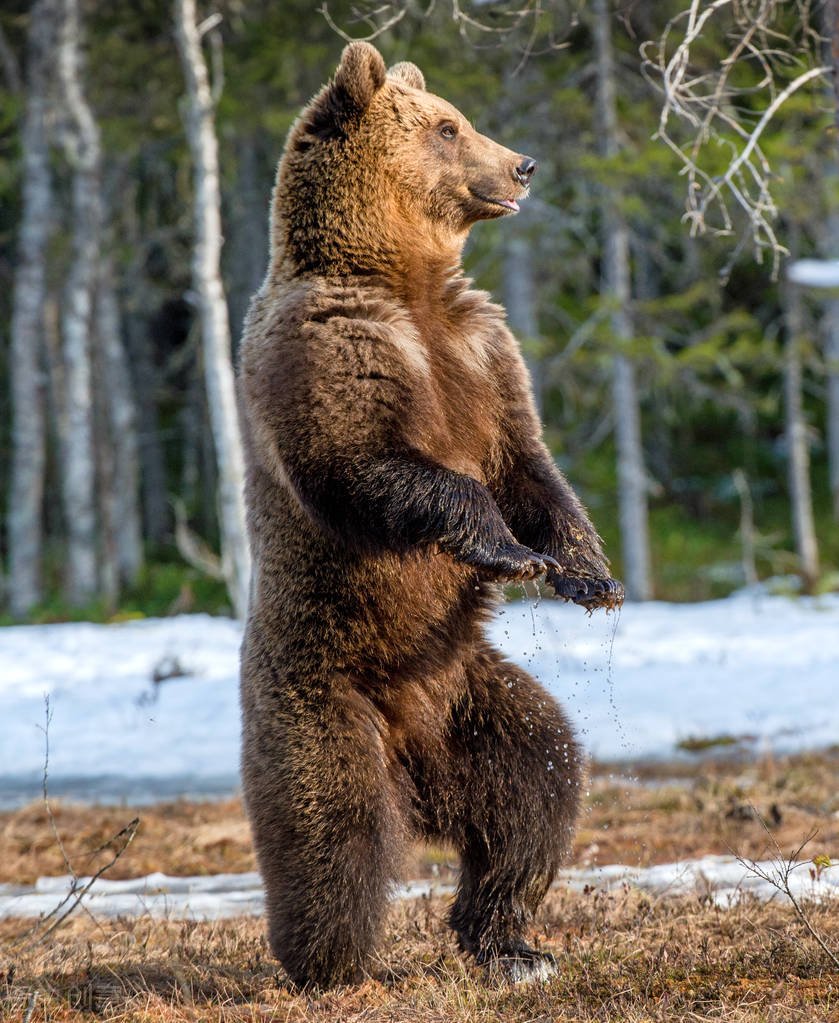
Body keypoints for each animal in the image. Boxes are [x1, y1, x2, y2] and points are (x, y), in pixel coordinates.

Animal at [237, 41, 623, 989]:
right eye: (448, 126)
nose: (521, 163)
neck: (401, 278)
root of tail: (414, 771)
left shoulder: (482, 351)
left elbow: (530, 465)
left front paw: (586, 574)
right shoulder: (331, 346)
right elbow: (369, 463)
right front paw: (509, 553)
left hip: (469, 695)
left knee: (537, 786)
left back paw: (512, 941)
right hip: (321, 695)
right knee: (331, 831)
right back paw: (329, 962)